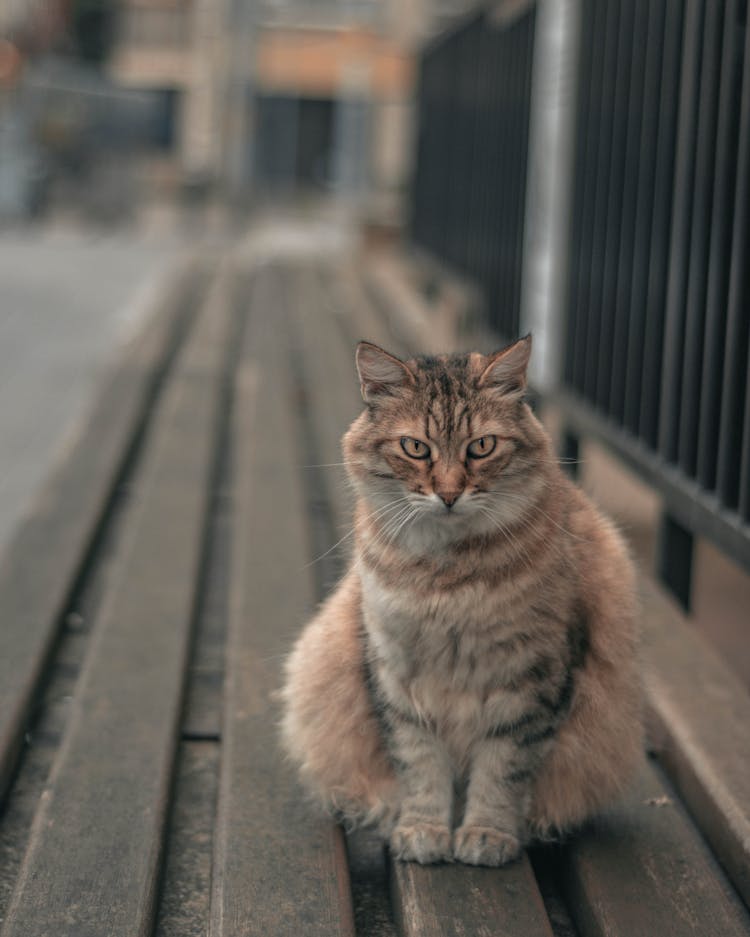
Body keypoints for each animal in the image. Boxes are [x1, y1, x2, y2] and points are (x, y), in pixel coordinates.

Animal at [280, 334, 644, 864]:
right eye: (415, 448)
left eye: (481, 447)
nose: (449, 495)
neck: (446, 578)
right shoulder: (398, 677)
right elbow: (421, 768)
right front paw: (424, 829)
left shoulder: (531, 682)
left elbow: (501, 773)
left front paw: (487, 835)